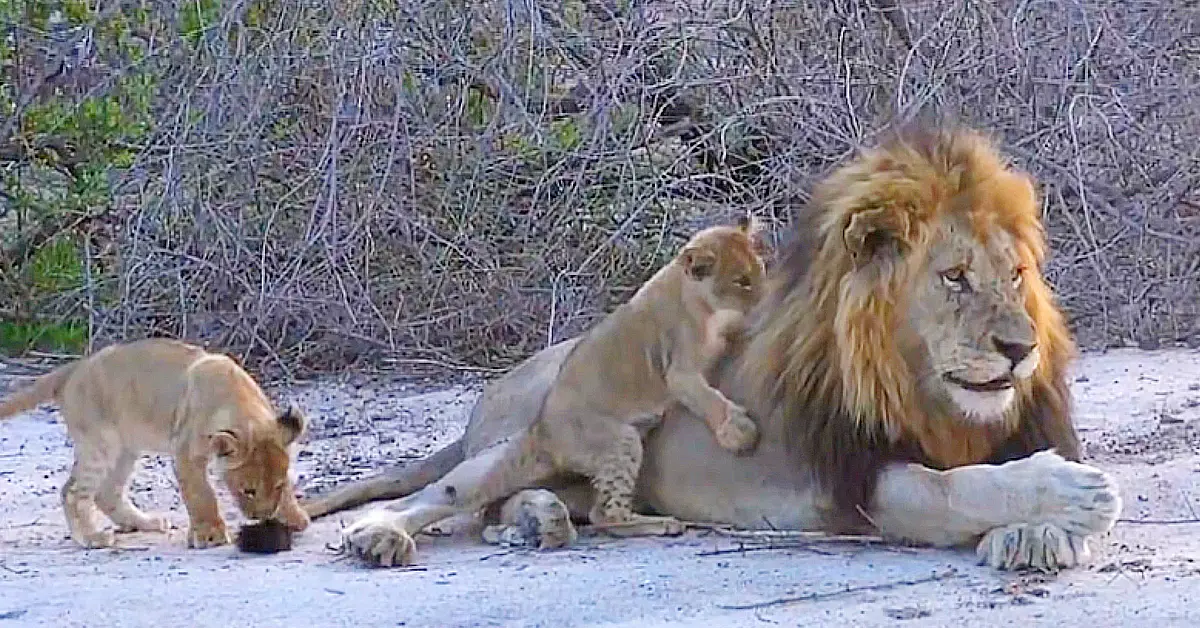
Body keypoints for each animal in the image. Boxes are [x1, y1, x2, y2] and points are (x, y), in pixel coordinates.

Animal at [0, 338, 312, 549]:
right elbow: (201, 494)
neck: (241, 406)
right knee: (72, 491)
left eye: (278, 486)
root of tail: (74, 368)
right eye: (248, 491)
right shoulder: (185, 450)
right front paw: (209, 534)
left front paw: (295, 516)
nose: (263, 516)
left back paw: (146, 523)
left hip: (126, 449)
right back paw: (92, 538)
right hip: (100, 443)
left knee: (107, 493)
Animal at [304, 218, 770, 548]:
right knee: (604, 515)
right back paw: (658, 524)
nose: (766, 296)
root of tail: (542, 431)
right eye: (742, 281)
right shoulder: (679, 366)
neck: (694, 296)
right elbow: (705, 395)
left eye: (761, 270)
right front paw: (738, 431)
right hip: (617, 439)